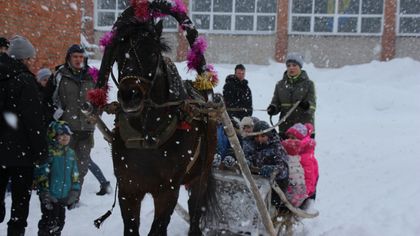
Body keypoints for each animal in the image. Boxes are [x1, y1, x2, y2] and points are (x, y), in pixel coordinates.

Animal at [94, 6, 217, 235]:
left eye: (152, 53)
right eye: (119, 55)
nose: (130, 95)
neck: (147, 135)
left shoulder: (167, 191)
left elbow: (159, 226)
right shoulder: (128, 189)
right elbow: (132, 227)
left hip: (202, 173)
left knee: (196, 207)